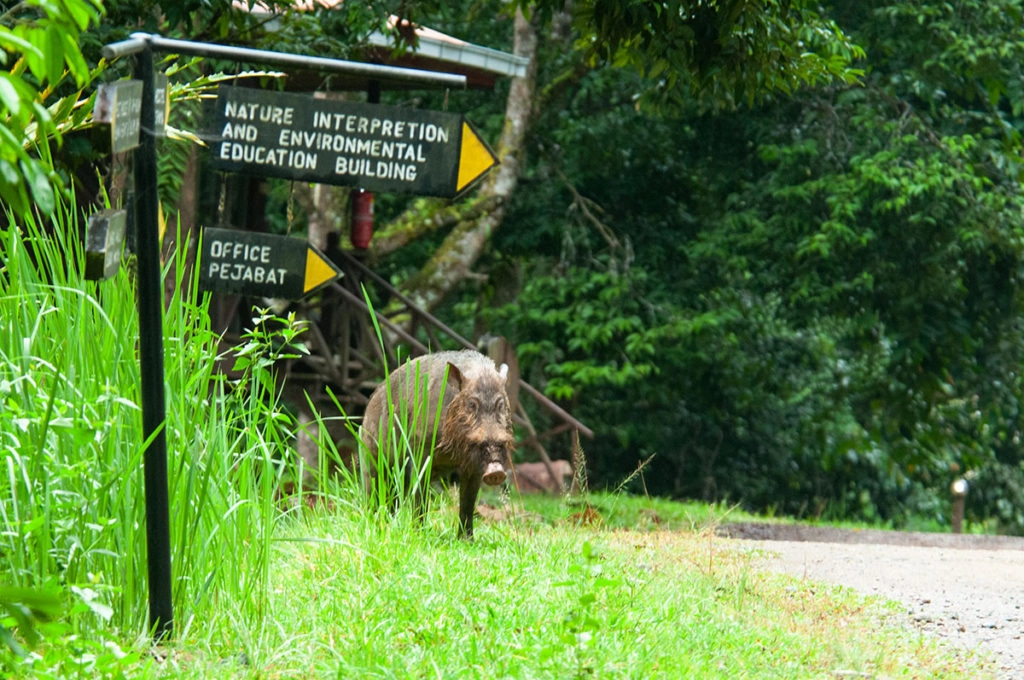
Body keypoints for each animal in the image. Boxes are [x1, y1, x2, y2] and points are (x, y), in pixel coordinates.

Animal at [359, 349, 514, 537]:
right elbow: (420, 494)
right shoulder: (420, 449)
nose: (496, 472)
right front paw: (419, 534)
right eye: (472, 404)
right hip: (371, 456)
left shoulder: (474, 466)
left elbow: (468, 502)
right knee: (375, 490)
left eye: (501, 405)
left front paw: (467, 540)